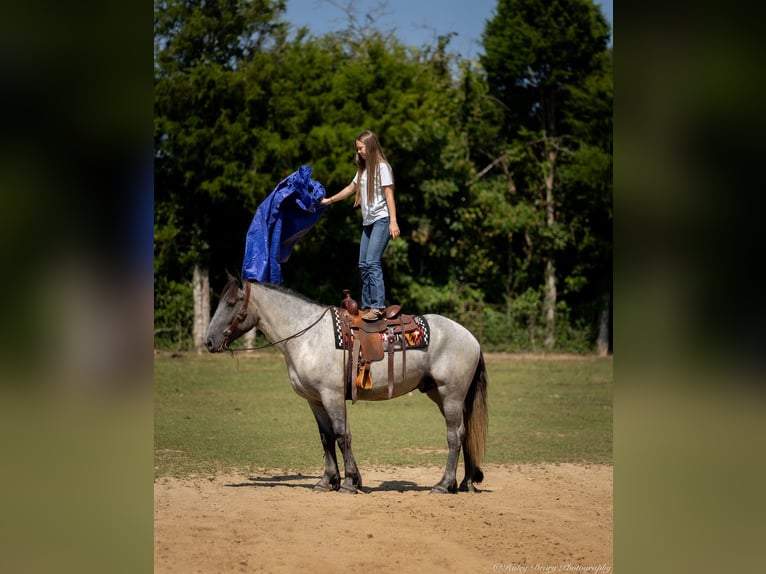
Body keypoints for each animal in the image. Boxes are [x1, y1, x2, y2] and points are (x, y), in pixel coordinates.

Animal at [204, 276, 492, 496]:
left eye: (231, 303)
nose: (208, 341)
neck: (308, 336)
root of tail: (470, 337)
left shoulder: (331, 395)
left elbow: (343, 436)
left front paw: (350, 482)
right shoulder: (315, 400)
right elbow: (326, 437)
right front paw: (327, 481)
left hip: (451, 395)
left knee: (454, 436)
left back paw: (443, 485)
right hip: (441, 395)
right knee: (464, 433)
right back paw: (464, 482)